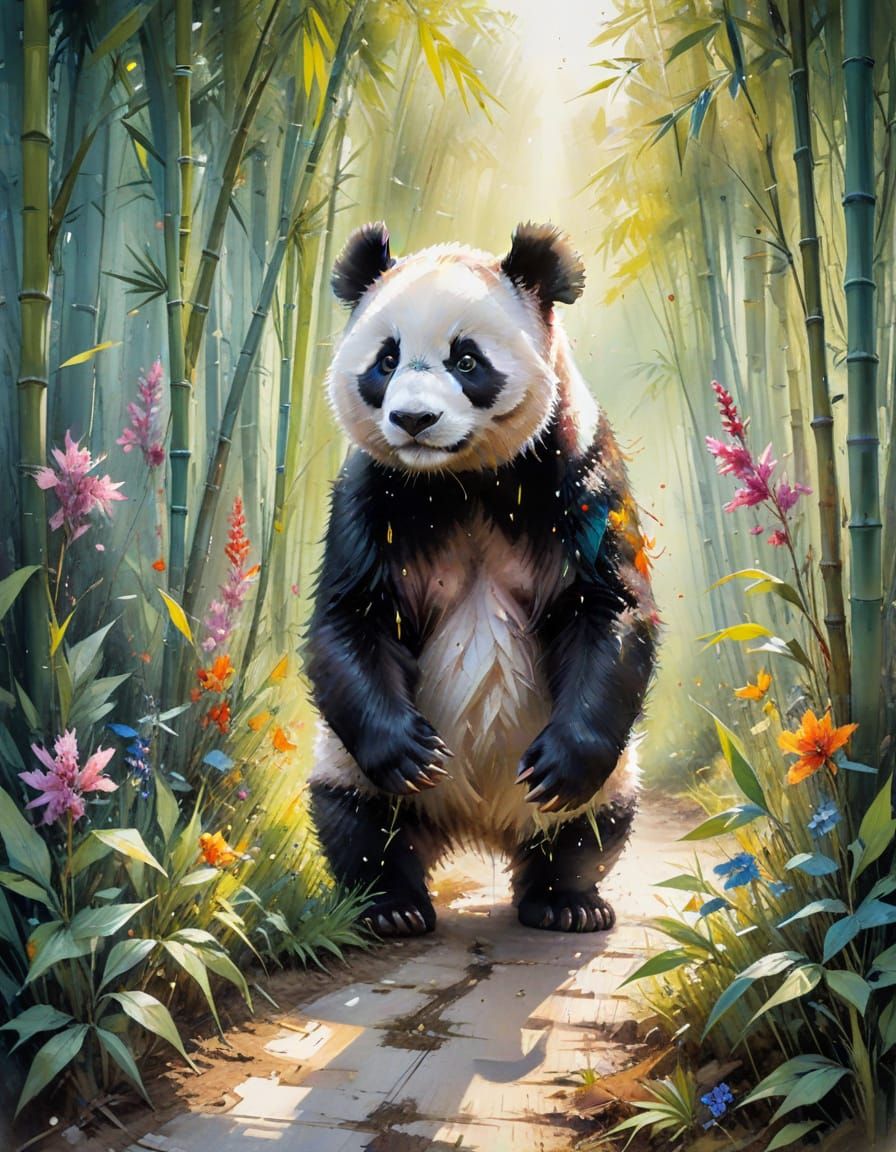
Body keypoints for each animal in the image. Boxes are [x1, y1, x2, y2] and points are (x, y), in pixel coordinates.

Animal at [306, 222, 658, 936]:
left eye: (466, 361)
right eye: (386, 360)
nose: (414, 420)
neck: (460, 481)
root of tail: (476, 826)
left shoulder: (577, 474)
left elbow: (611, 606)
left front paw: (561, 765)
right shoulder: (372, 495)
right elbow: (351, 615)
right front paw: (411, 754)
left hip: (615, 774)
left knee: (593, 825)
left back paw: (566, 901)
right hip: (343, 760)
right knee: (357, 820)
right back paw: (391, 907)